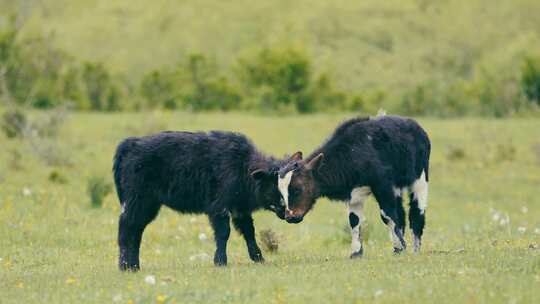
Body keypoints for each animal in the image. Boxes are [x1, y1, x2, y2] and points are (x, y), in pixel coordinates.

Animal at [114, 131, 288, 270]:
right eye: (274, 185)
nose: (286, 211)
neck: (241, 165)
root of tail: (130, 144)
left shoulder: (240, 210)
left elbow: (249, 232)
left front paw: (259, 258)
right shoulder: (219, 208)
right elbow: (224, 233)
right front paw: (220, 262)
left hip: (148, 206)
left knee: (136, 232)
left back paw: (134, 266)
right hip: (138, 202)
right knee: (127, 229)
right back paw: (126, 267)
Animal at [276, 115, 432, 258]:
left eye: (297, 189)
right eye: (281, 192)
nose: (289, 217)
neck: (353, 153)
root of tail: (414, 124)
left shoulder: (382, 185)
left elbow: (387, 215)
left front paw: (400, 246)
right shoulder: (355, 194)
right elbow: (354, 220)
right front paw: (356, 252)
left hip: (420, 179)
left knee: (417, 212)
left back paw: (415, 249)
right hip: (397, 188)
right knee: (400, 212)